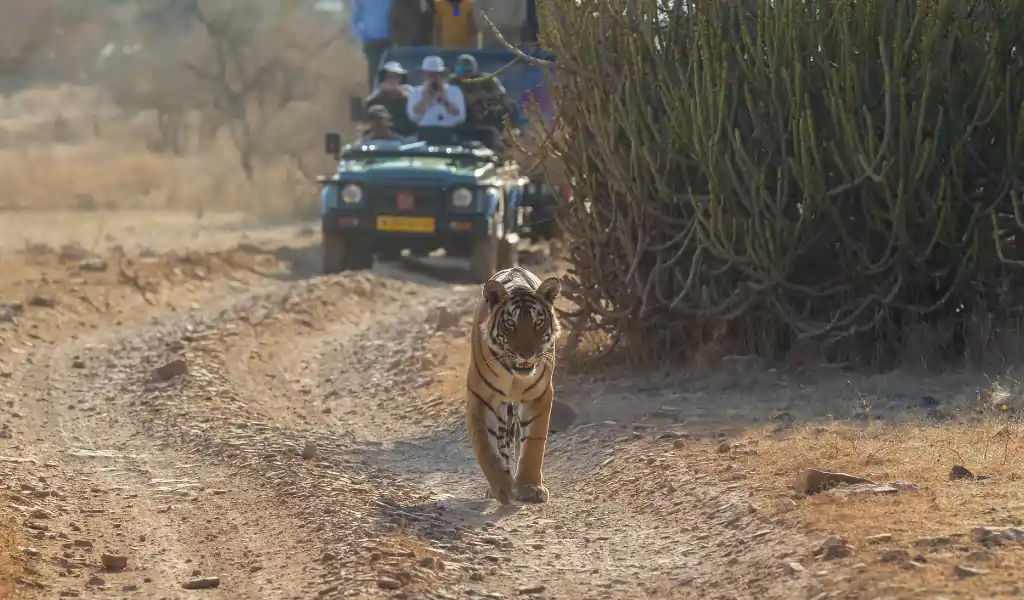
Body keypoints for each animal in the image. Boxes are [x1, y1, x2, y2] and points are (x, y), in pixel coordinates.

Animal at [465, 266, 562, 505]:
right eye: (511, 324)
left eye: (538, 323)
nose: (526, 354)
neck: (514, 375)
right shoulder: (481, 399)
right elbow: (486, 447)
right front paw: (502, 487)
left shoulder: (539, 396)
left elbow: (533, 444)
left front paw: (529, 487)